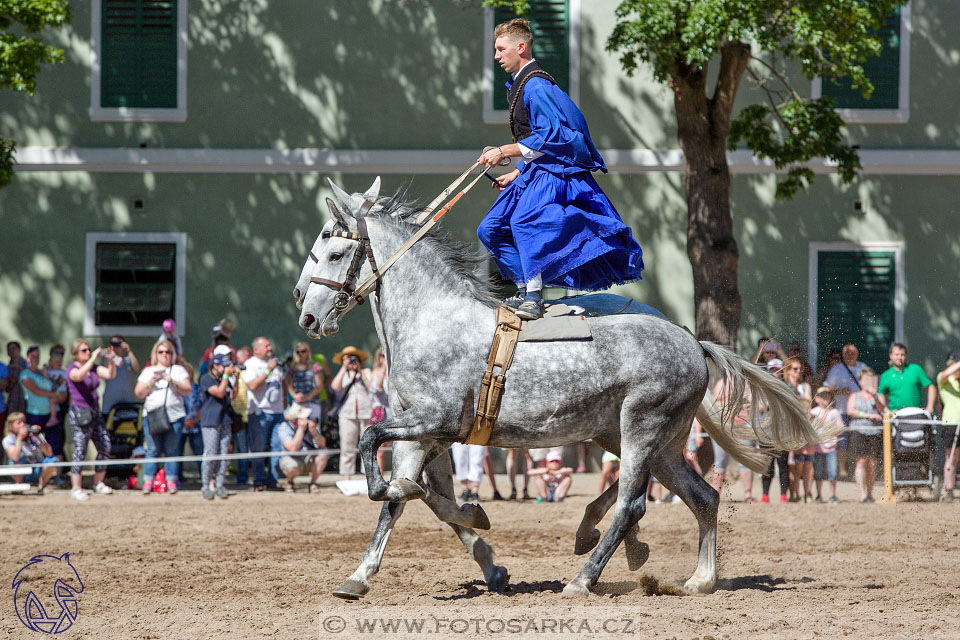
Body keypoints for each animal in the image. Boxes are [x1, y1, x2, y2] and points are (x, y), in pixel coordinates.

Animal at [294, 179, 824, 596]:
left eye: (336, 252)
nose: (307, 314)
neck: (431, 319)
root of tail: (693, 342)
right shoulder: (426, 434)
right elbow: (407, 503)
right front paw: (365, 574)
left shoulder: (434, 419)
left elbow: (376, 455)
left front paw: (436, 506)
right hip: (652, 440)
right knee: (702, 497)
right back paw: (698, 578)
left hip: (642, 427)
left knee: (632, 502)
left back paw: (584, 577)